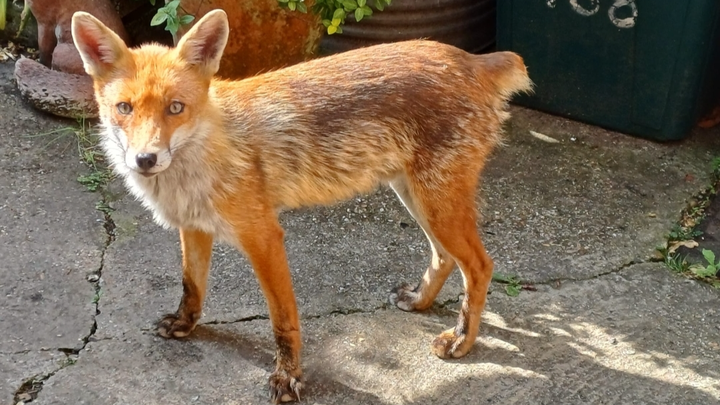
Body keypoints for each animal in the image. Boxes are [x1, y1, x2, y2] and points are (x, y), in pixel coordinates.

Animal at [71, 9, 532, 404]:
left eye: (175, 108)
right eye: (124, 108)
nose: (145, 160)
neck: (207, 153)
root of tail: (471, 59)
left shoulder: (264, 236)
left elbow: (283, 321)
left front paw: (287, 377)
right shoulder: (194, 226)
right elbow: (192, 286)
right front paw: (185, 325)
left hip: (436, 202)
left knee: (480, 266)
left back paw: (461, 340)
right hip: (416, 196)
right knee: (444, 257)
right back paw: (420, 301)